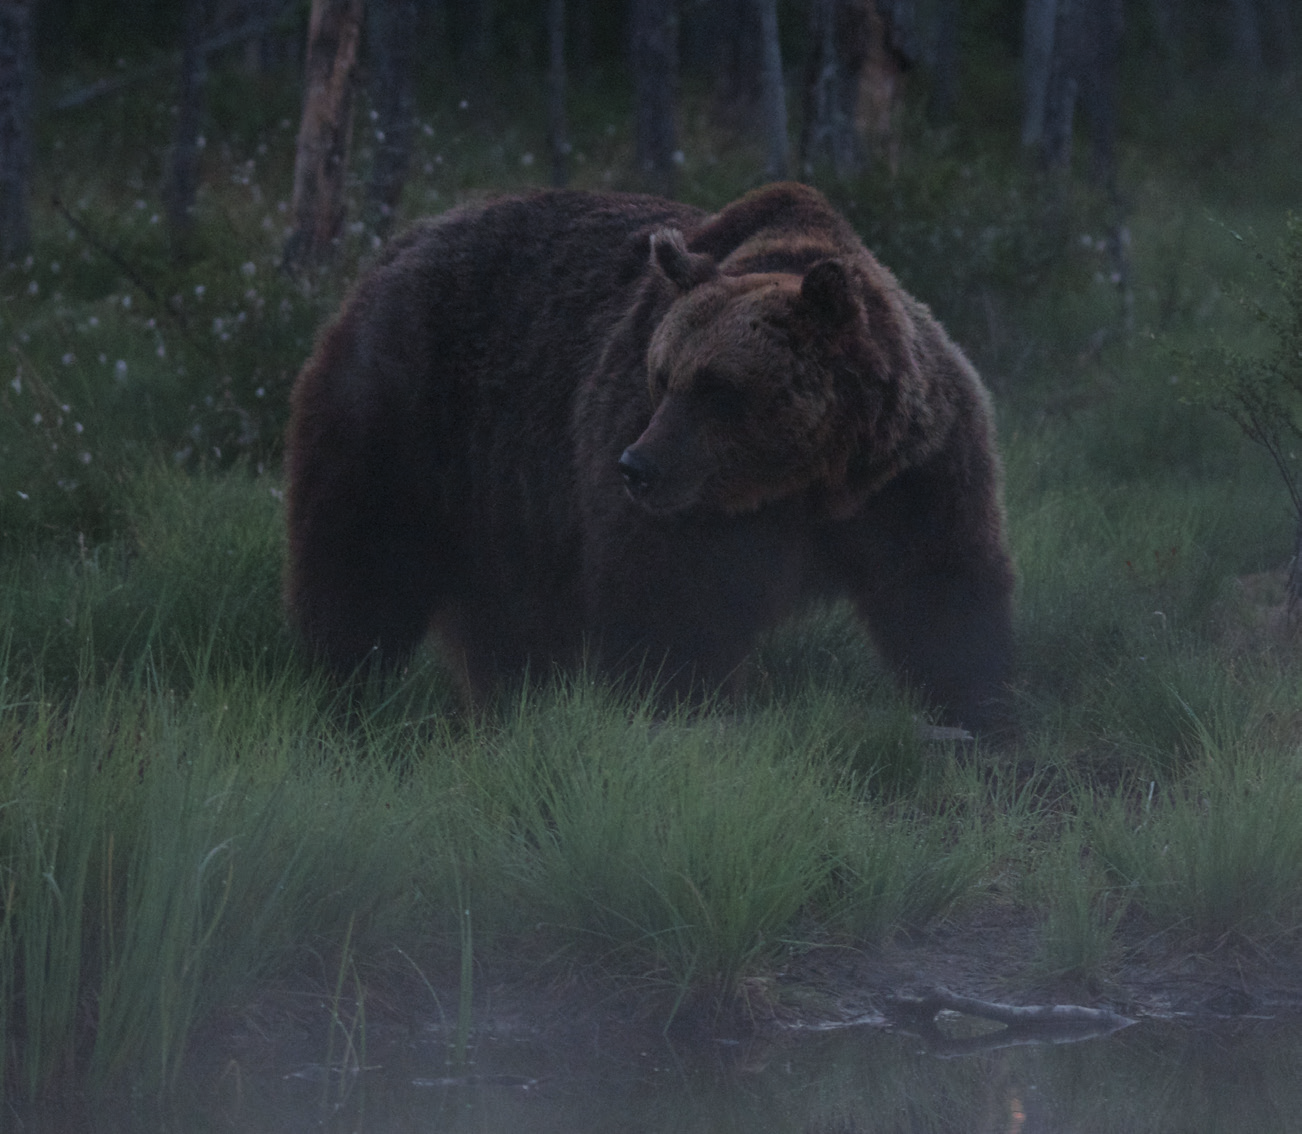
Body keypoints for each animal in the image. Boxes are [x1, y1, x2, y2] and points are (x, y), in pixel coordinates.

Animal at [287, 182, 1015, 734]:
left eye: (717, 388)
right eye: (663, 376)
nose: (637, 466)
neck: (806, 482)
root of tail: (395, 249)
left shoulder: (911, 476)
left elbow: (944, 593)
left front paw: (982, 712)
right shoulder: (681, 511)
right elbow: (669, 614)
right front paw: (680, 712)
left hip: (506, 516)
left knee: (510, 625)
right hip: (411, 423)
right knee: (362, 567)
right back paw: (340, 693)